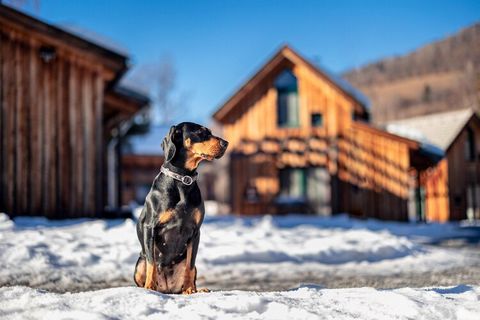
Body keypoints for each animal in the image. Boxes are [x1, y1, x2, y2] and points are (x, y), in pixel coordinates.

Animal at [132, 122, 228, 296]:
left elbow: (190, 264)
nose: (226, 143)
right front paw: (149, 287)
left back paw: (196, 289)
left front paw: (190, 289)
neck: (183, 179)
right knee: (145, 266)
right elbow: (151, 263)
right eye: (200, 132)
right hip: (139, 264)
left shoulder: (195, 232)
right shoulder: (150, 228)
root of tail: (167, 289)